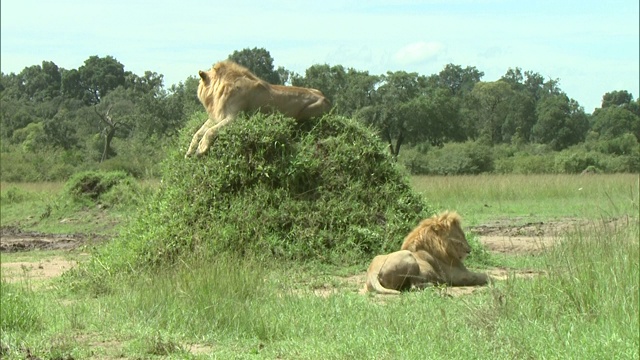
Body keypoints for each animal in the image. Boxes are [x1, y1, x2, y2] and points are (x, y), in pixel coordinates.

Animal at [185, 60, 332, 158]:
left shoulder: (236, 117)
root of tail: (327, 99)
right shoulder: (217, 116)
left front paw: (200, 149)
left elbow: (210, 131)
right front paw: (189, 152)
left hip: (307, 113)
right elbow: (198, 132)